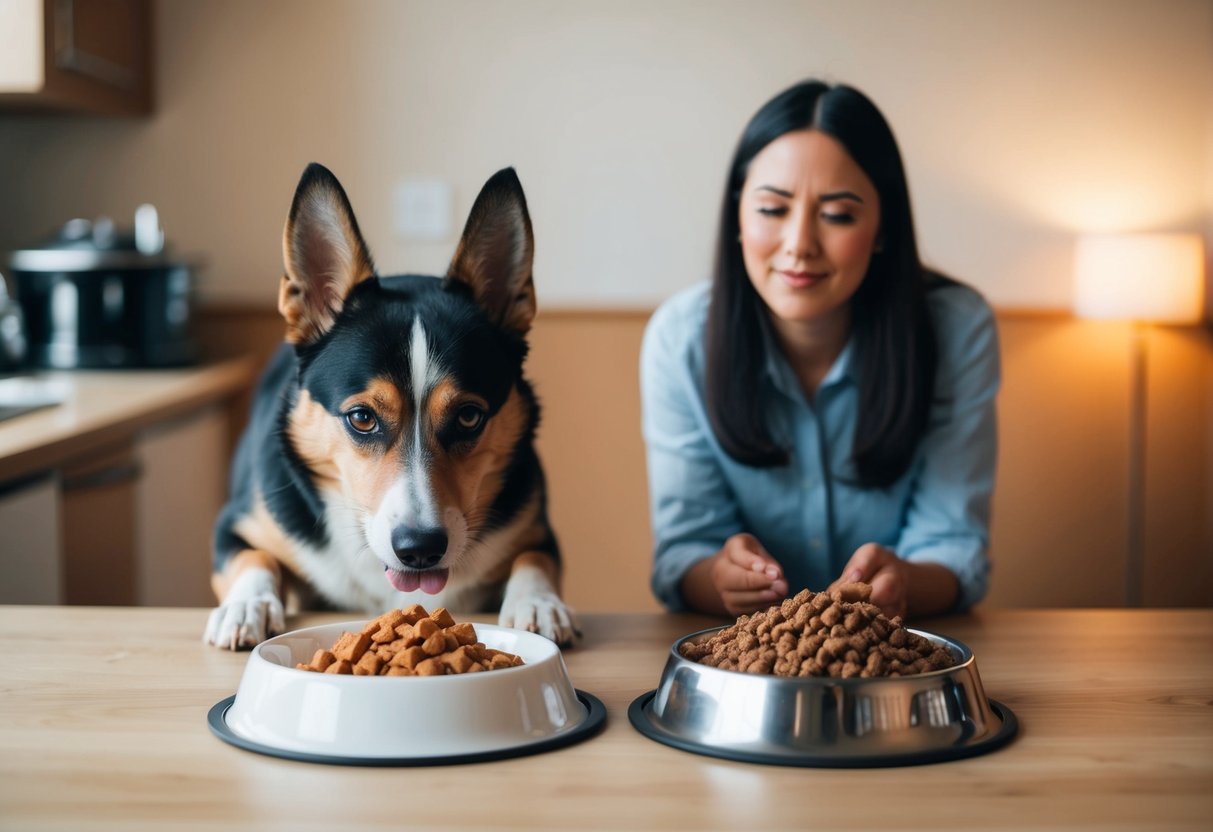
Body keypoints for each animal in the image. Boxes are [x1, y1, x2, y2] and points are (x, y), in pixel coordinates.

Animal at [201, 161, 574, 650]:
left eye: (469, 416)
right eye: (362, 418)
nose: (420, 550)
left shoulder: (537, 530)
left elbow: (534, 559)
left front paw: (538, 602)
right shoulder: (237, 526)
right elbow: (253, 558)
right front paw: (248, 605)